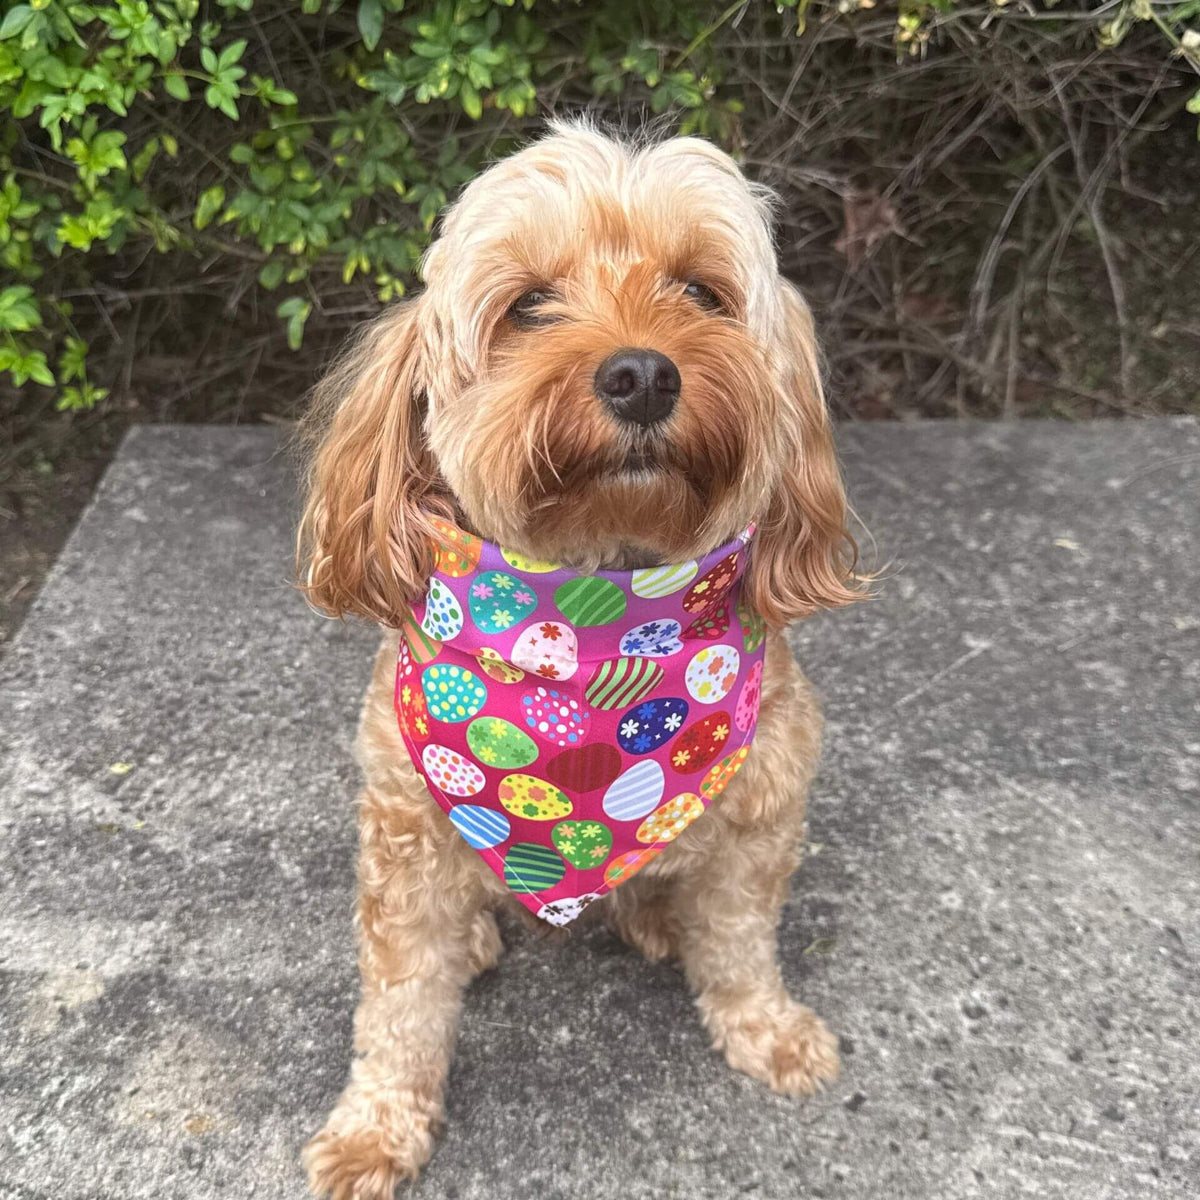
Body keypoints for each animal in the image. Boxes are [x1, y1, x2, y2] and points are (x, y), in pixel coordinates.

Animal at [298, 114, 864, 1200]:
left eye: (701, 292)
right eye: (529, 307)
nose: (642, 374)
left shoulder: (763, 816)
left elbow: (741, 944)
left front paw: (766, 1031)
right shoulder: (403, 841)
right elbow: (399, 1006)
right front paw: (375, 1128)